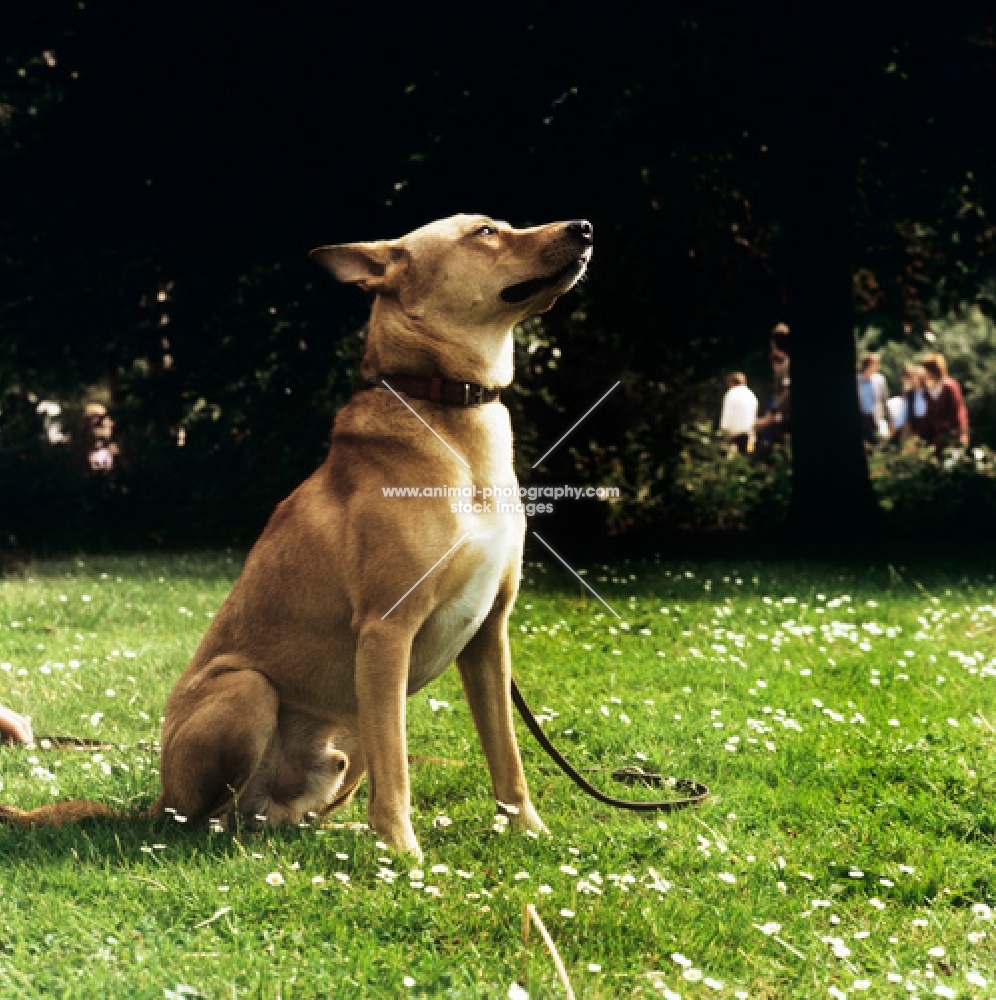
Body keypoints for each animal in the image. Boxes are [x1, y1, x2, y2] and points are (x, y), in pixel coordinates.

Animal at [0, 213, 592, 860]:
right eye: (485, 231)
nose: (585, 227)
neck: (448, 415)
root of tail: (158, 798)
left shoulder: (488, 635)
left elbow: (507, 756)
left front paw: (531, 834)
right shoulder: (386, 632)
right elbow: (399, 775)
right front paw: (403, 854)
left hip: (349, 735)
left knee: (290, 816)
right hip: (250, 691)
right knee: (207, 820)